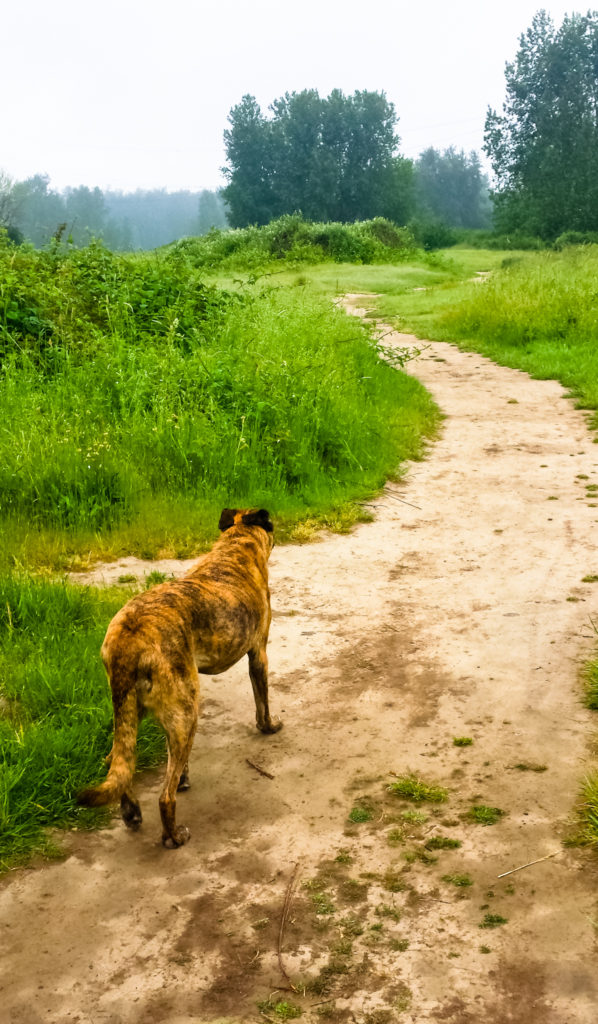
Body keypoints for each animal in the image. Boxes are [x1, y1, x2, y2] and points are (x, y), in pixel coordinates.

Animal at [78, 505, 280, 847]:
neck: (235, 548)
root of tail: (129, 638)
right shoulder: (259, 654)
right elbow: (262, 700)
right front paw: (269, 727)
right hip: (187, 710)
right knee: (165, 797)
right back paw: (173, 835)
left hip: (132, 708)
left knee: (117, 760)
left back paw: (131, 810)